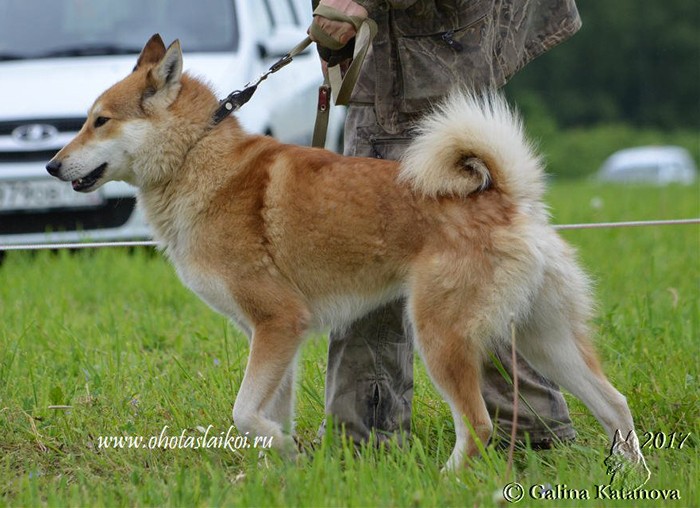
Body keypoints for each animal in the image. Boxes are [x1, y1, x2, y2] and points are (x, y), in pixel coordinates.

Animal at [47, 34, 645, 471]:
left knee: (478, 425)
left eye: (100, 121)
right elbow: (268, 414)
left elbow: (245, 415)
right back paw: (632, 475)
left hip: (441, 336)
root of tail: (506, 199)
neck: (197, 160)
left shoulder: (279, 321)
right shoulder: (273, 337)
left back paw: (443, 482)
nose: (52, 164)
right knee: (614, 404)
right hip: (546, 339)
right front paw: (279, 472)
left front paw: (285, 451)